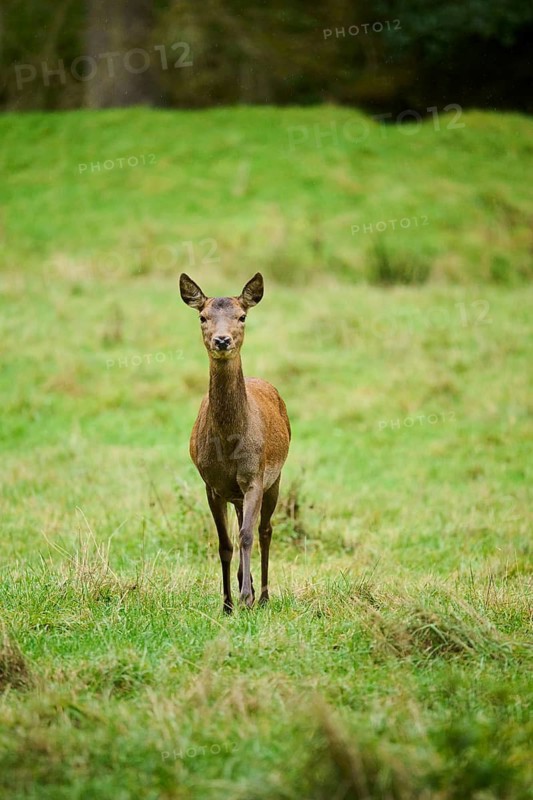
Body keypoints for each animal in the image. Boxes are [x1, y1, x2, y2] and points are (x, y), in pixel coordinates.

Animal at [179, 272, 291, 613]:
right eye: (202, 317)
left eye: (242, 316)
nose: (222, 340)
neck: (229, 444)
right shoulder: (211, 484)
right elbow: (225, 543)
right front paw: (228, 603)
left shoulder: (255, 475)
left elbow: (247, 536)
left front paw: (245, 598)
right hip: (237, 493)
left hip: (275, 477)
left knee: (265, 531)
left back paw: (264, 595)